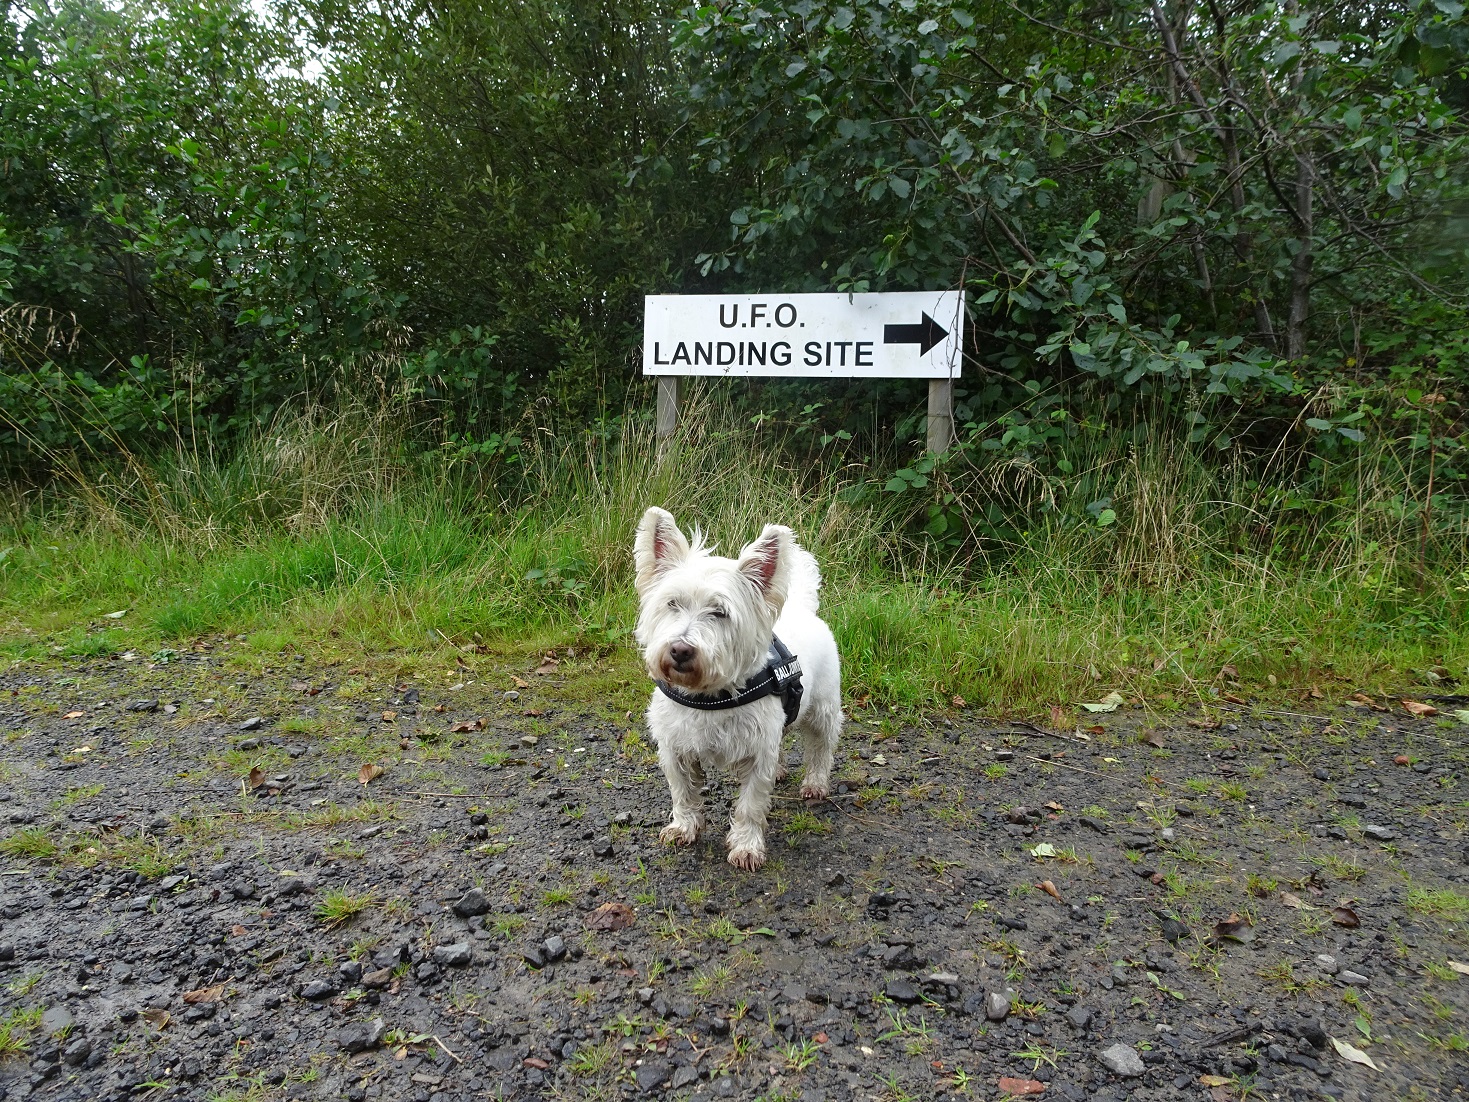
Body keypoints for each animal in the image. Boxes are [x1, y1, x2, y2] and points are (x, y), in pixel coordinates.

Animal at [634, 508, 852, 869]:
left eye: (720, 612)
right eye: (672, 603)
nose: (680, 649)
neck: (709, 696)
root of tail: (802, 607)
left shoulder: (758, 752)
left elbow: (750, 804)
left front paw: (747, 847)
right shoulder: (674, 747)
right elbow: (683, 792)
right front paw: (683, 828)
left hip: (823, 708)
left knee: (822, 746)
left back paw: (815, 784)